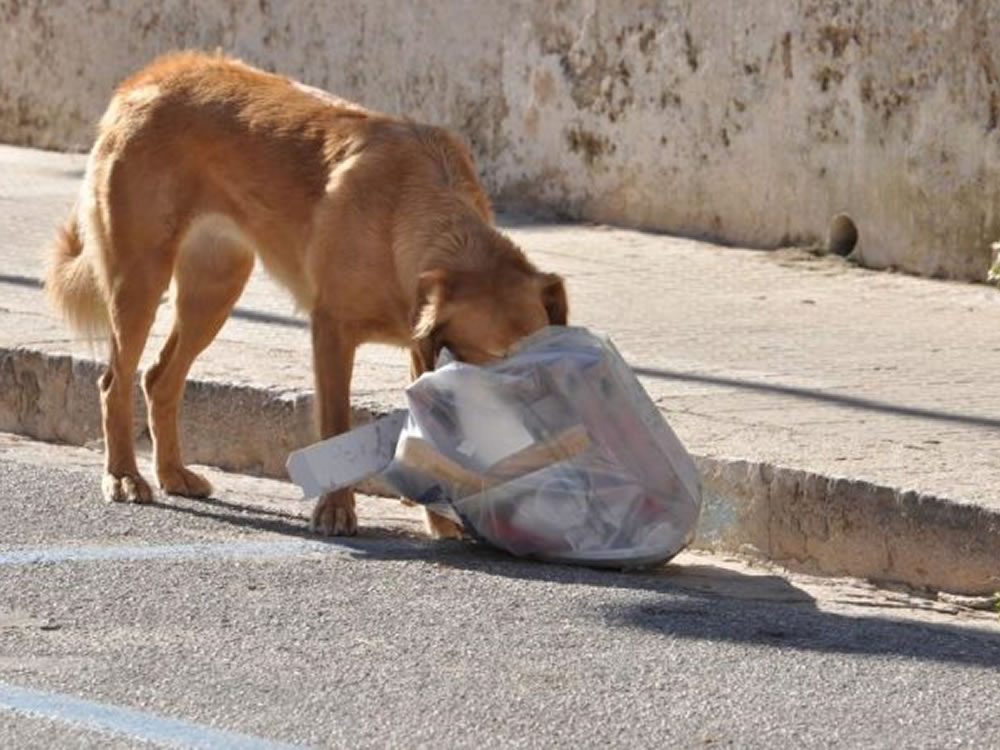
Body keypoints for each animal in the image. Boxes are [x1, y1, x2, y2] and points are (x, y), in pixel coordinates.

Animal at [47, 50, 568, 536]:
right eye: (500, 363)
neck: (416, 217)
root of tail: (148, 77)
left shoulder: (421, 347)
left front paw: (440, 520)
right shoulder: (333, 331)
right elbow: (336, 422)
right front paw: (336, 509)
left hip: (213, 289)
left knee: (159, 378)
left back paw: (172, 472)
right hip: (140, 278)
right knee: (115, 381)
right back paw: (124, 475)